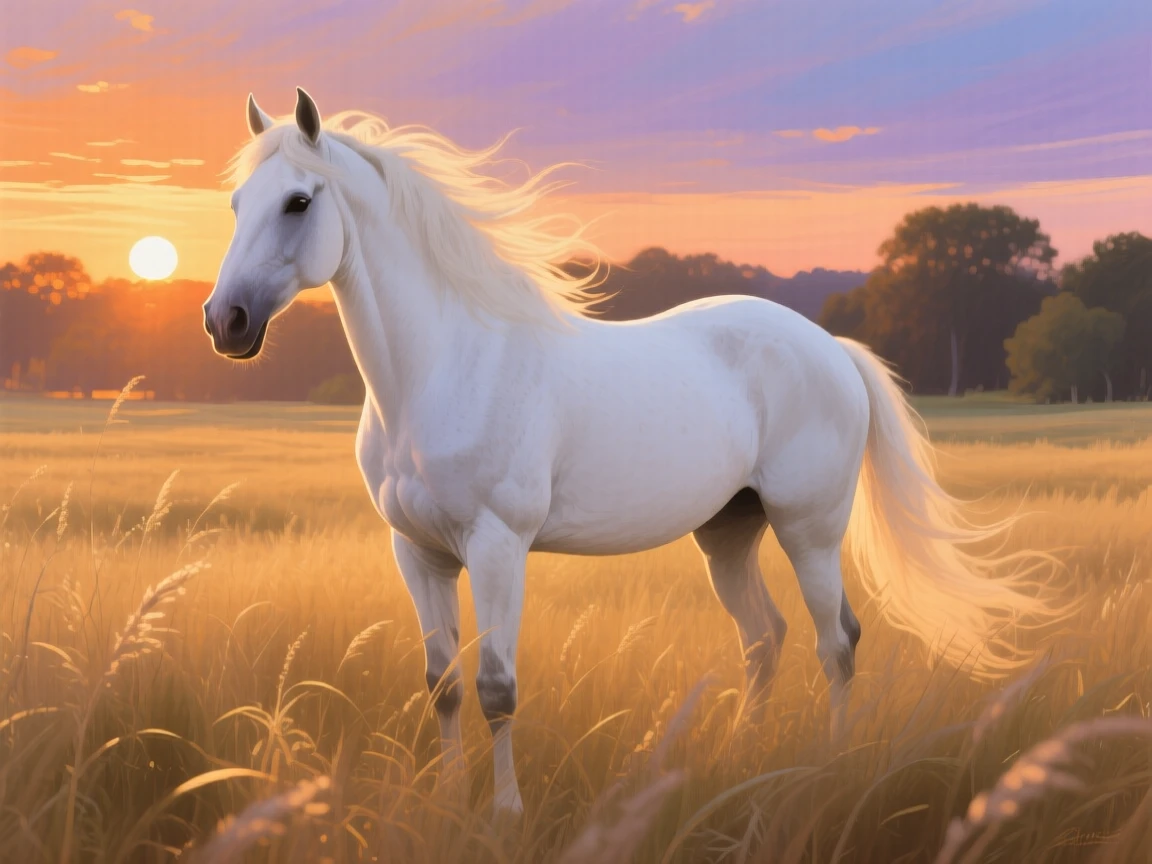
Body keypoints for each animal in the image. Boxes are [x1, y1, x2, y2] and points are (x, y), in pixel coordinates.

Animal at [204, 87, 1060, 818]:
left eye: (299, 201)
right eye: (239, 203)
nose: (226, 322)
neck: (444, 368)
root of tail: (831, 349)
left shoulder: (497, 547)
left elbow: (496, 687)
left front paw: (506, 814)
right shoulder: (417, 553)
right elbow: (442, 685)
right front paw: (448, 803)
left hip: (809, 530)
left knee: (837, 643)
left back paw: (828, 766)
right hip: (728, 534)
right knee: (765, 639)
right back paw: (740, 758)